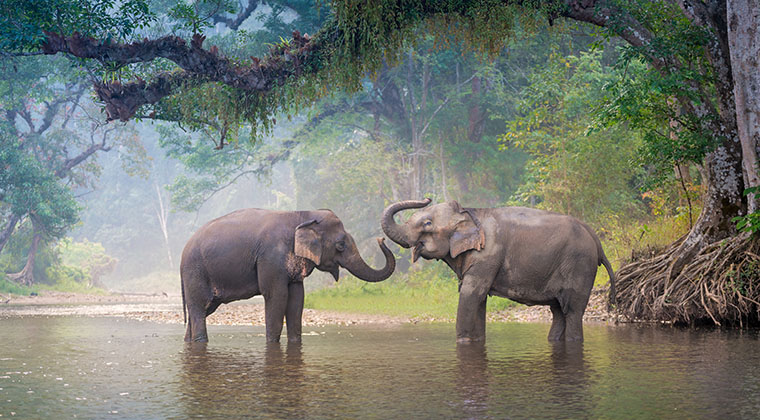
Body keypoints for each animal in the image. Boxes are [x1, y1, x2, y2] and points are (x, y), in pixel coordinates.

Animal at [181, 208, 395, 343]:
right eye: (340, 245)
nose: (381, 239)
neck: (301, 214)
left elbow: (297, 298)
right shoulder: (271, 257)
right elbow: (276, 295)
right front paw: (272, 343)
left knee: (203, 310)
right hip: (195, 272)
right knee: (199, 308)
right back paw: (200, 341)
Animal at [381, 198, 615, 342]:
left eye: (427, 223)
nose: (427, 197)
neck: (470, 212)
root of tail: (596, 239)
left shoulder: (488, 255)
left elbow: (471, 295)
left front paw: (463, 341)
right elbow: (478, 299)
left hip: (580, 265)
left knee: (572, 310)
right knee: (557, 311)